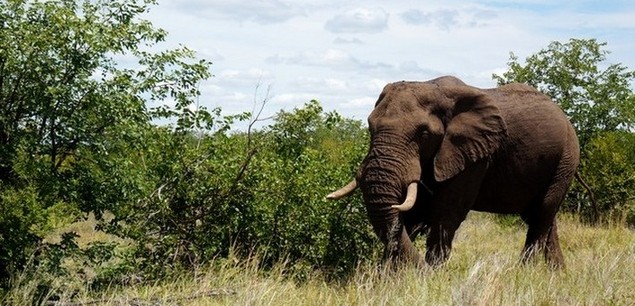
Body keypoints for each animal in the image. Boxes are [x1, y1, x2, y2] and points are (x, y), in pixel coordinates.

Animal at [328, 75, 580, 268]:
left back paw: (523, 273)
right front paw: (388, 279)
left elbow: (445, 214)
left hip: (566, 158)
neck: (432, 87)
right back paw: (557, 275)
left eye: (423, 133)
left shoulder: (473, 155)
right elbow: (411, 213)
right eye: (370, 126)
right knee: (540, 216)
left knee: (543, 211)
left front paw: (431, 277)